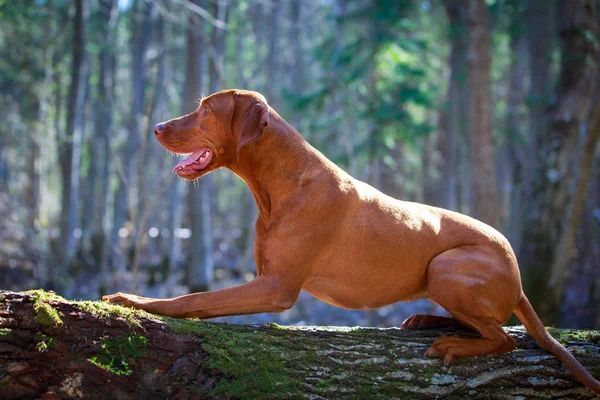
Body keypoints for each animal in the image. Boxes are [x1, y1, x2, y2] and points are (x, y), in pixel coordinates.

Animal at [104, 89, 600, 392]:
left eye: (207, 109)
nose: (156, 127)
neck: (280, 184)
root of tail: (518, 277)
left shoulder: (276, 287)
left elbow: (193, 299)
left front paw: (135, 300)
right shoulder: (267, 277)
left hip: (446, 267)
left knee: (503, 339)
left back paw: (453, 343)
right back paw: (426, 320)